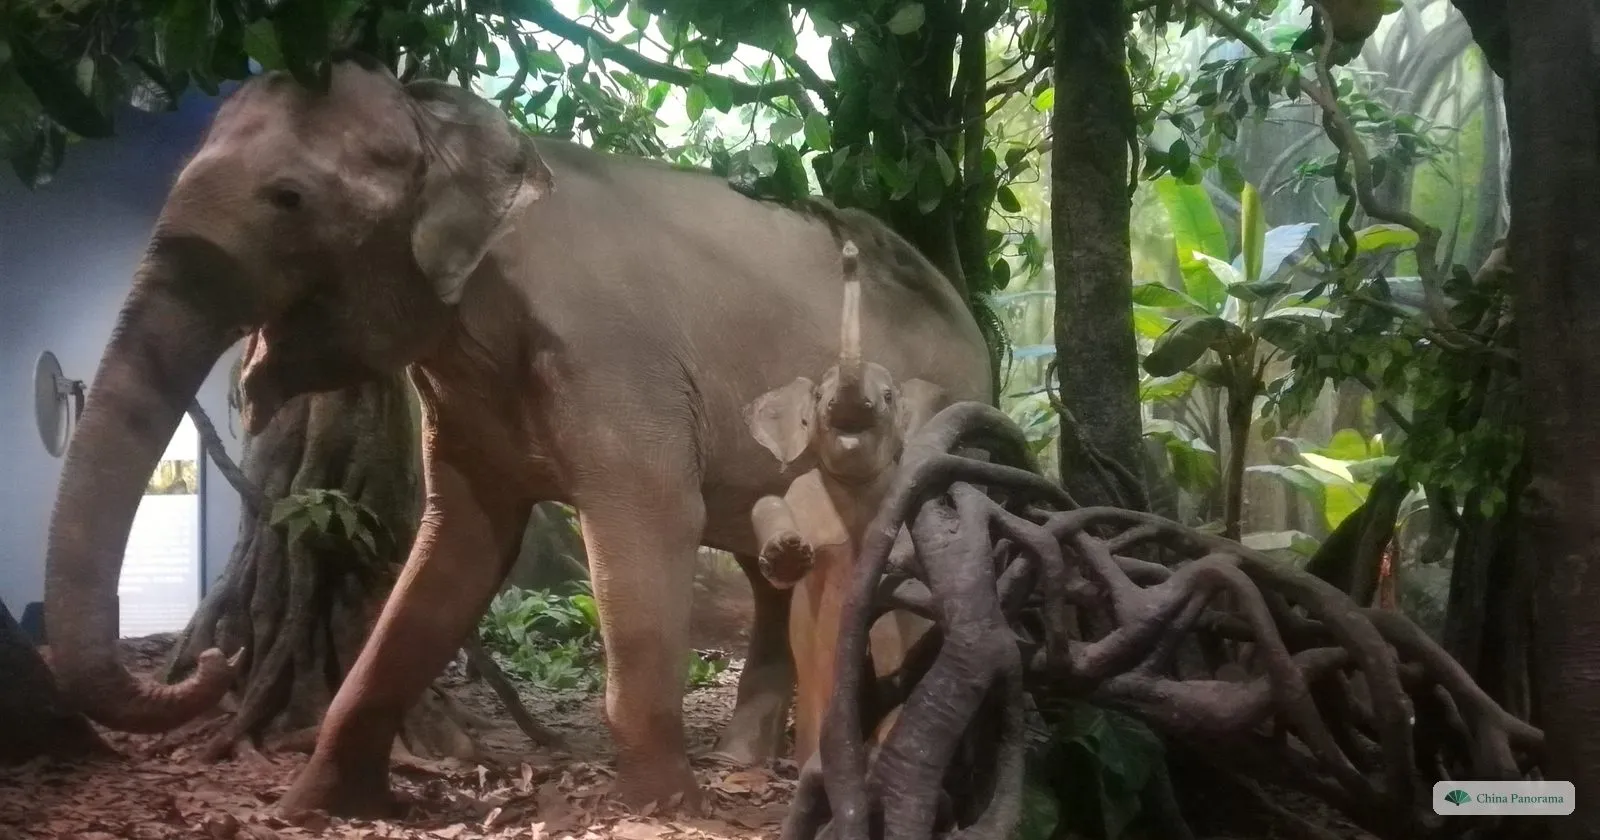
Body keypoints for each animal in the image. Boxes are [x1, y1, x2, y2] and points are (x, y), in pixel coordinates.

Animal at [743, 240, 935, 768]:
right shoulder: (800, 492)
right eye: (819, 397)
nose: (849, 252)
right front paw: (788, 555)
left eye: (888, 397)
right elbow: (767, 503)